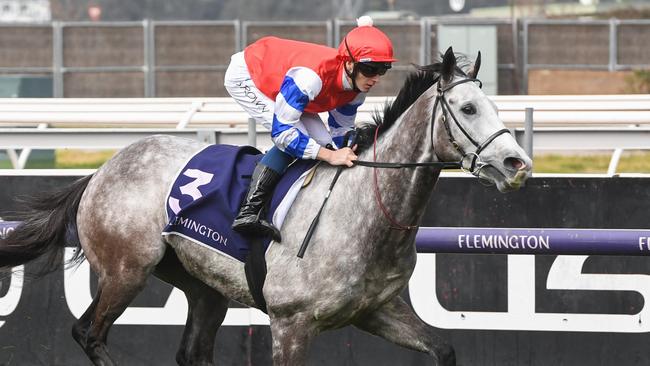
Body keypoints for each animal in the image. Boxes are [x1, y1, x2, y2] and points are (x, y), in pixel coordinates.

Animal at [0, 47, 528, 364]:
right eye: (467, 109)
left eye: (495, 106)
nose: (517, 163)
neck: (364, 211)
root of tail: (101, 171)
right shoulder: (291, 325)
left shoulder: (376, 310)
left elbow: (443, 349)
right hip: (126, 269)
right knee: (89, 333)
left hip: (202, 287)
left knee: (191, 351)